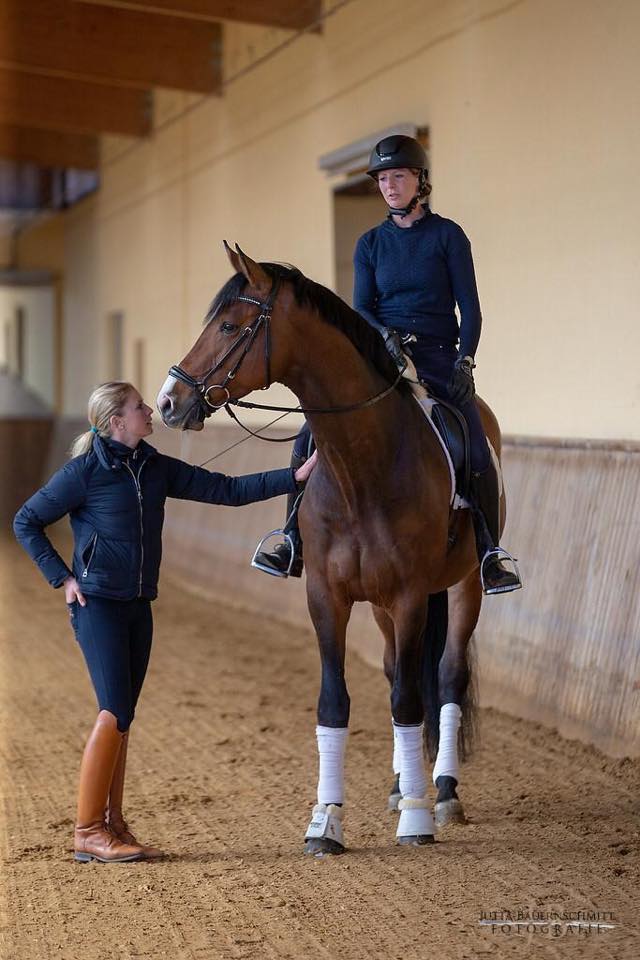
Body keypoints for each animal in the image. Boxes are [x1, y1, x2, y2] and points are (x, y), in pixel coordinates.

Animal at [156, 246, 504, 856]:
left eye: (229, 326)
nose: (169, 402)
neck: (361, 466)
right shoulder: (326, 596)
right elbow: (336, 703)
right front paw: (326, 823)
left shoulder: (411, 595)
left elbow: (410, 700)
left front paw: (416, 824)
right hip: (384, 607)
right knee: (394, 671)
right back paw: (401, 785)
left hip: (462, 587)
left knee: (445, 677)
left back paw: (439, 792)